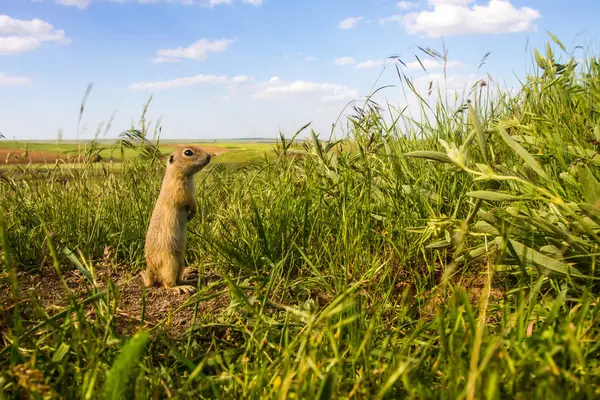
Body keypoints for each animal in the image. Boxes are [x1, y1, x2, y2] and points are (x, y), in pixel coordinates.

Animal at [142, 146, 212, 294]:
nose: (209, 156)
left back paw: (190, 280)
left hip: (180, 261)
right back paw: (182, 288)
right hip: (170, 262)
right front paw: (192, 211)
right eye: (188, 152)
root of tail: (150, 268)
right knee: (167, 283)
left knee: (177, 277)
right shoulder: (178, 188)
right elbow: (186, 200)